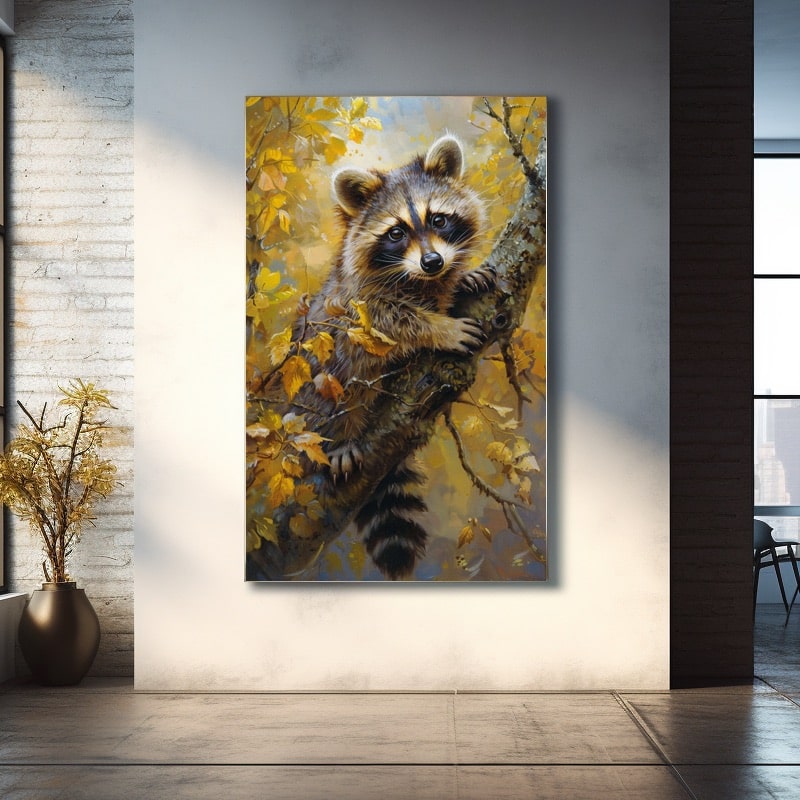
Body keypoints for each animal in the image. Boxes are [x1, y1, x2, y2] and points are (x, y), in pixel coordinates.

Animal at [291, 135, 495, 578]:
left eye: (439, 220)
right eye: (396, 232)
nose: (433, 261)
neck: (418, 278)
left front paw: (463, 280)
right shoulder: (356, 300)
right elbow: (391, 321)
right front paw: (439, 327)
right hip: (314, 385)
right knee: (332, 382)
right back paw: (338, 437)